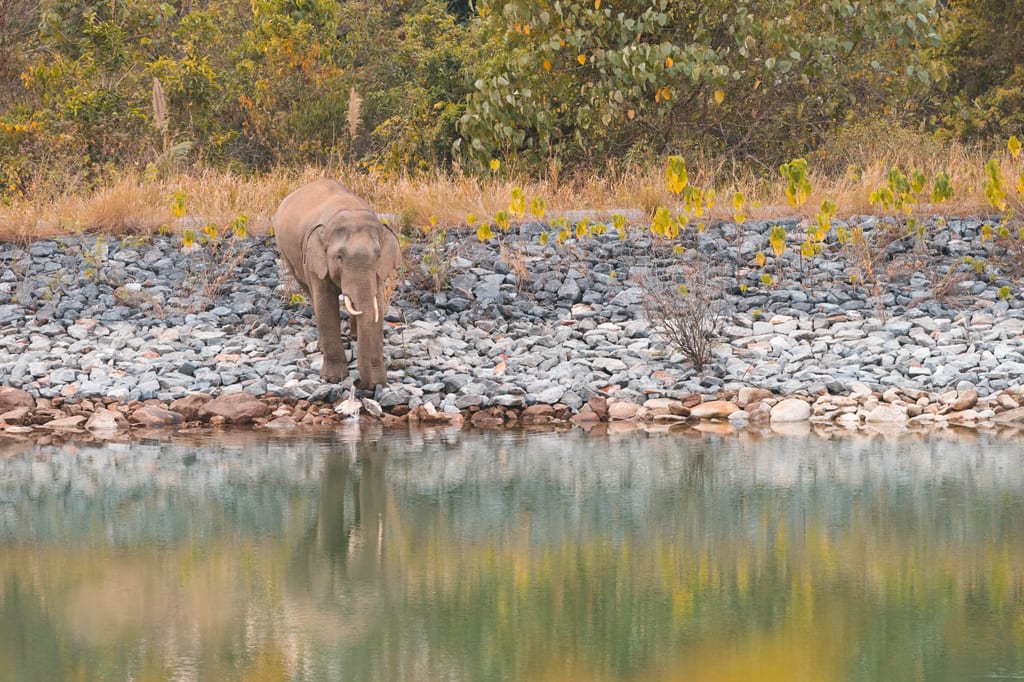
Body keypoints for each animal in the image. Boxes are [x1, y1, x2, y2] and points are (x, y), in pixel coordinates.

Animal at [274, 179, 400, 388]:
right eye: (339, 257)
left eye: (378, 255)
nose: (363, 385)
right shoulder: (315, 261)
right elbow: (325, 304)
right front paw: (332, 379)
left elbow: (377, 306)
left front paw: (378, 382)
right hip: (289, 256)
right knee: (309, 292)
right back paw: (322, 346)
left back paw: (355, 337)